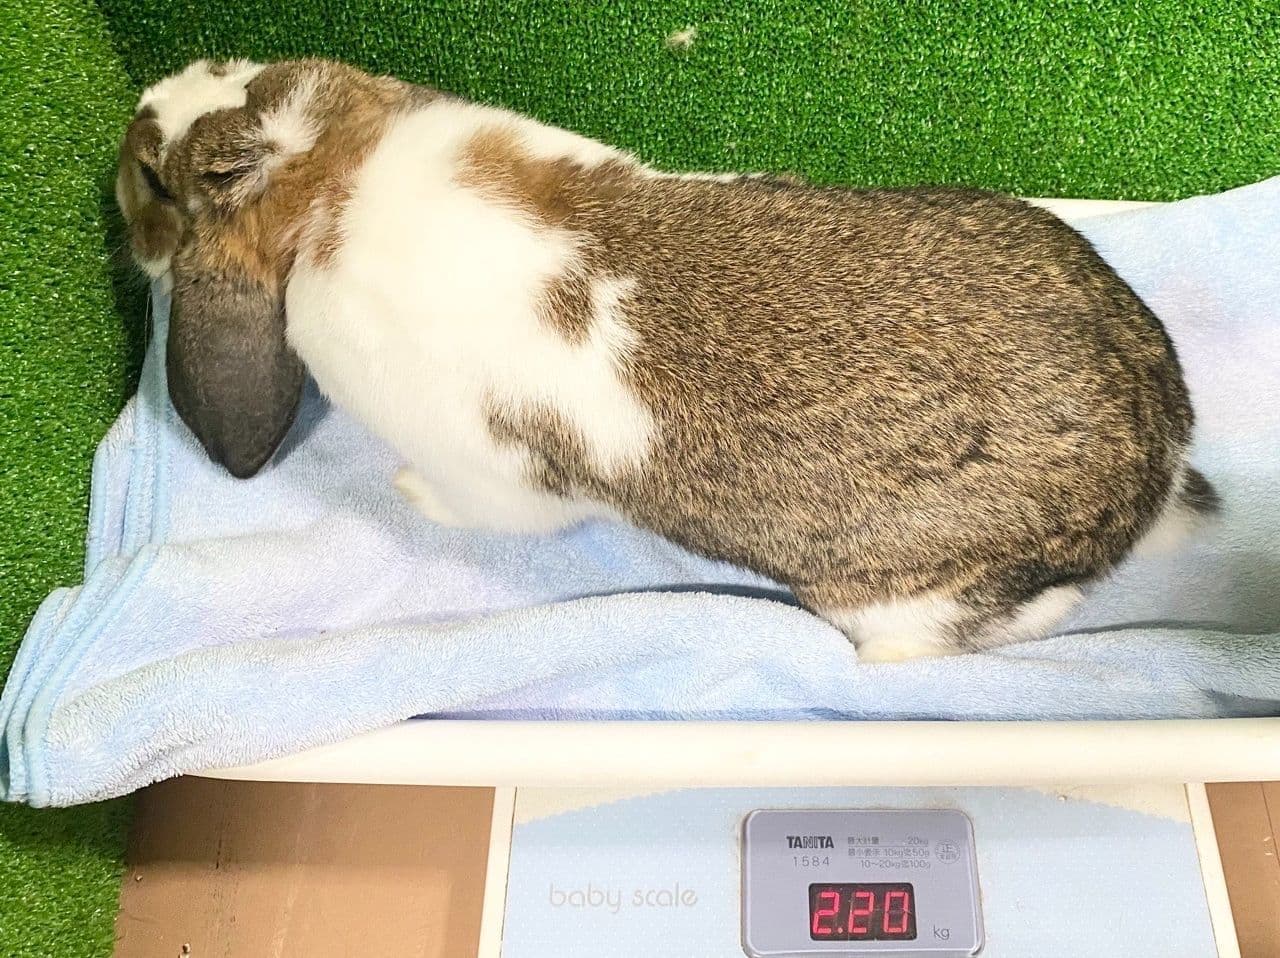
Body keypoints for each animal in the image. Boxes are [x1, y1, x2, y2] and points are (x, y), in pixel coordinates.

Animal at [116, 57, 1218, 662]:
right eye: (241, 76)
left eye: (158, 179)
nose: (142, 102)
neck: (326, 181)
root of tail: (1155, 463)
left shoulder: (494, 477)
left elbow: (483, 508)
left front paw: (407, 494)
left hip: (905, 594)